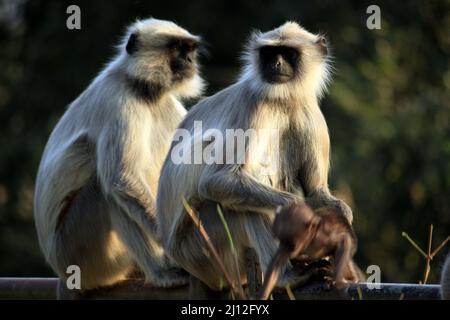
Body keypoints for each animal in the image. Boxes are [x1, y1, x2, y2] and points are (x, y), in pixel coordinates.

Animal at [33, 18, 206, 292]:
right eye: (177, 49)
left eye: (190, 49)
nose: (190, 61)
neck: (143, 89)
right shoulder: (119, 101)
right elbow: (121, 178)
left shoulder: (166, 102)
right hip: (77, 250)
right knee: (106, 190)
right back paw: (160, 273)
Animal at [156, 21, 354, 294]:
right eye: (269, 53)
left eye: (288, 53)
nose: (276, 64)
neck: (282, 99)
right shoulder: (253, 106)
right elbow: (217, 181)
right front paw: (303, 215)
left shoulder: (310, 112)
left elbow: (316, 191)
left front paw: (342, 220)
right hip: (204, 250)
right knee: (243, 204)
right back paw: (286, 277)